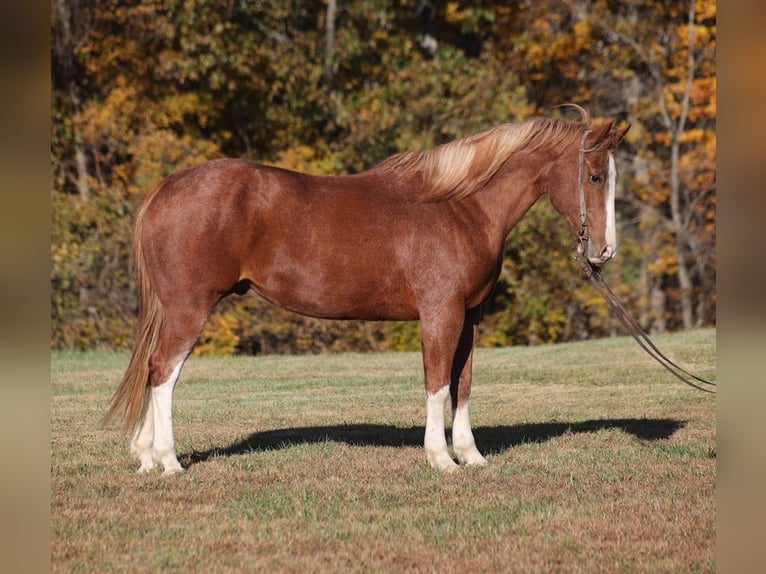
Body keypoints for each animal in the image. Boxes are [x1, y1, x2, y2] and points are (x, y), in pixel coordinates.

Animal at [104, 106, 629, 475]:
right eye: (595, 176)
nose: (605, 251)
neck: (461, 208)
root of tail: (164, 190)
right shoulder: (441, 313)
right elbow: (437, 383)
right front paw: (441, 459)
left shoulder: (470, 316)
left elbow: (462, 383)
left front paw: (471, 455)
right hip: (189, 308)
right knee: (163, 372)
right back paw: (170, 461)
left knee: (154, 368)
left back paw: (147, 457)